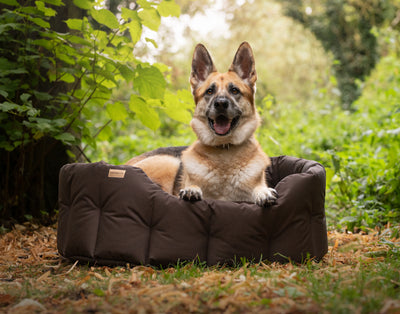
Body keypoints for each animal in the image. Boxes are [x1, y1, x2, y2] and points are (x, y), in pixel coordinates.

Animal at [126, 43, 276, 207]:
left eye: (234, 90)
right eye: (209, 91)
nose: (221, 103)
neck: (224, 151)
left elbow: (258, 188)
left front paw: (263, 192)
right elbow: (192, 187)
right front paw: (192, 189)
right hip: (170, 162)